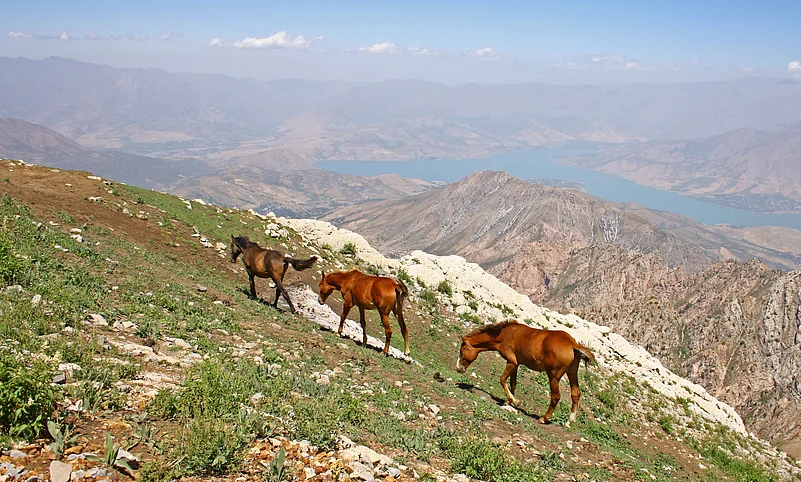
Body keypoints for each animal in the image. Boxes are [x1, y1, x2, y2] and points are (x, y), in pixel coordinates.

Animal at [457, 320, 595, 427]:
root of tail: (572, 344)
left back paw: (544, 418)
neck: (504, 335)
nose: (458, 368)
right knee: (575, 394)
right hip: (572, 373)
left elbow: (502, 380)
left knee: (555, 397)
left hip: (554, 376)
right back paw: (568, 422)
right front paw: (509, 402)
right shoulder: (515, 364)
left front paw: (515, 401)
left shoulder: (511, 363)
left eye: (462, 350)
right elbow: (512, 383)